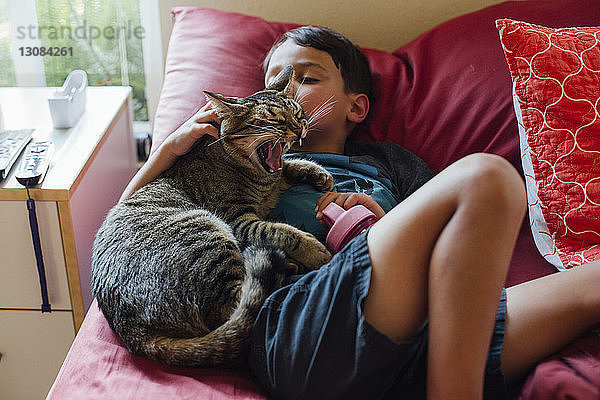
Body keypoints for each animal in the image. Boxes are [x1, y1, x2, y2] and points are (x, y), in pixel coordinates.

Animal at [91, 66, 332, 368]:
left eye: (299, 114)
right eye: (274, 120)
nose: (301, 129)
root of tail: (130, 328)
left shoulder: (272, 183)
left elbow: (289, 167)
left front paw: (317, 172)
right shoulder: (240, 221)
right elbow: (281, 231)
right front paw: (314, 249)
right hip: (210, 236)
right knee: (240, 304)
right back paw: (288, 267)